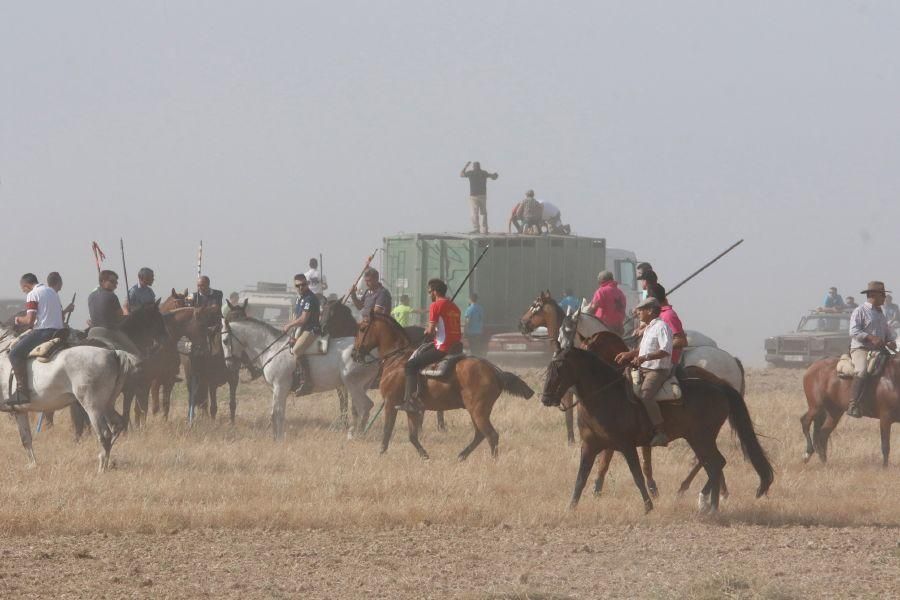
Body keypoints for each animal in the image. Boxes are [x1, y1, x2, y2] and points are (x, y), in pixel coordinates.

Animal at [0, 330, 137, 472]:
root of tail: (112, 353)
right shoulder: (20, 412)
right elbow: (26, 439)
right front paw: (33, 465)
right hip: (106, 406)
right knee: (118, 425)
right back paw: (106, 461)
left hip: (93, 408)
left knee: (104, 434)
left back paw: (101, 468)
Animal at [225, 316, 380, 438]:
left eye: (225, 340)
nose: (229, 364)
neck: (272, 349)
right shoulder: (277, 390)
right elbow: (277, 413)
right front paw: (276, 437)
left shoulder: (280, 386)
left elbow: (277, 413)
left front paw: (278, 438)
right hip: (361, 386)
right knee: (358, 409)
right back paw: (354, 434)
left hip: (352, 384)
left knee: (365, 406)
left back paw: (357, 436)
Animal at [352, 314, 536, 460]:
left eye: (362, 328)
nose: (354, 354)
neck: (397, 359)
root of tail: (494, 370)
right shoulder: (411, 409)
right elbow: (412, 436)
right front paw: (424, 455)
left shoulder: (390, 403)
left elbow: (387, 430)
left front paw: (381, 453)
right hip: (477, 411)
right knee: (480, 435)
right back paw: (462, 455)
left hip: (478, 410)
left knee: (491, 435)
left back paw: (492, 461)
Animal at [540, 346, 772, 510]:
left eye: (559, 368)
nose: (546, 398)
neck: (606, 395)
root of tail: (720, 387)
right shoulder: (589, 446)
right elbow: (581, 478)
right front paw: (571, 507)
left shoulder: (626, 446)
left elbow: (637, 474)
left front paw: (648, 506)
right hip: (698, 439)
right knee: (714, 464)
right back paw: (708, 504)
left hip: (701, 438)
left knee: (714, 464)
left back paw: (709, 505)